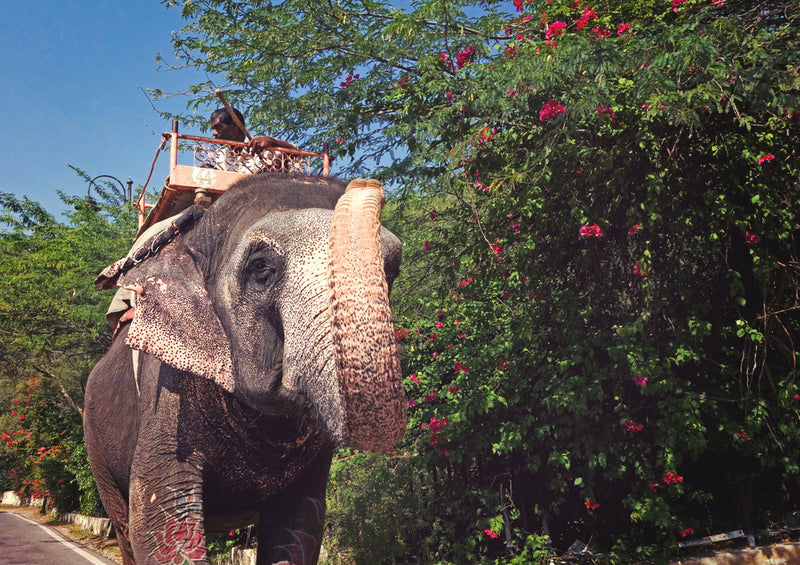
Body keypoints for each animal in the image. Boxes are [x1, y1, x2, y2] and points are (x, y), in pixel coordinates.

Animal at [84, 174, 406, 560]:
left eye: (391, 270)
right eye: (260, 269)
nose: (366, 182)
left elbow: (301, 524)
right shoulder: (164, 391)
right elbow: (158, 515)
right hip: (97, 444)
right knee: (123, 523)